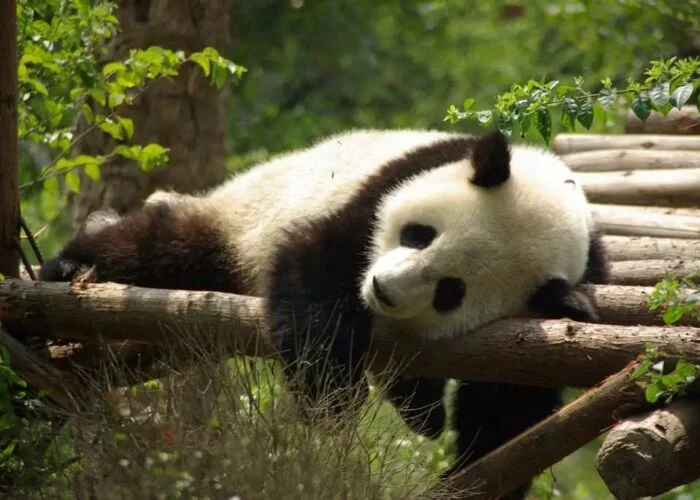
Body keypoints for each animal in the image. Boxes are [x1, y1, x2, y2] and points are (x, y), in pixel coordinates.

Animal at [39, 128, 610, 498]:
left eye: (452, 291)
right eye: (419, 234)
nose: (383, 289)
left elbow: (509, 399)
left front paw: (471, 473)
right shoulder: (381, 191)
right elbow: (316, 264)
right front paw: (331, 403)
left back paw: (423, 412)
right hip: (240, 219)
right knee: (161, 245)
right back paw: (69, 265)